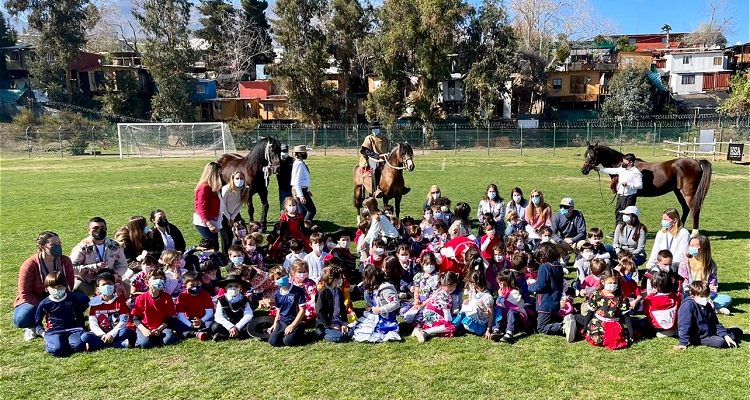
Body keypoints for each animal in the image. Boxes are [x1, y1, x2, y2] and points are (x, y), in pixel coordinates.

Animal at [580, 141, 716, 236]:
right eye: (585, 155)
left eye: (592, 155)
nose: (583, 170)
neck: (624, 166)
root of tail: (697, 162)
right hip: (678, 192)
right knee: (686, 208)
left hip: (688, 193)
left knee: (694, 209)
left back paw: (694, 233)